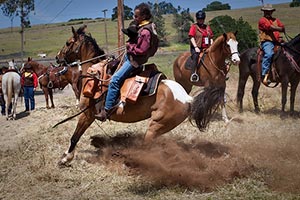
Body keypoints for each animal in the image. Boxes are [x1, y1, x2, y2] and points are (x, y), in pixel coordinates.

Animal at [54, 26, 213, 166]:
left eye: (68, 42)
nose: (57, 57)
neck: (96, 74)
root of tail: (188, 98)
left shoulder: (87, 114)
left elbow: (75, 137)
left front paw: (66, 158)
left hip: (156, 126)